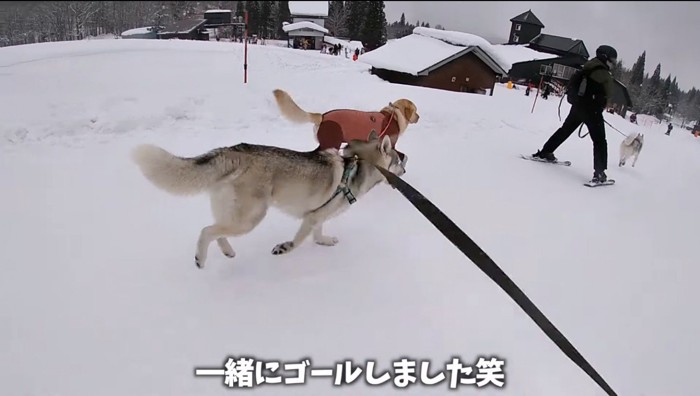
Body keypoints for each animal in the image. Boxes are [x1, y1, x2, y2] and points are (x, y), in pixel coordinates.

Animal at [131, 131, 404, 268]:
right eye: (399, 159)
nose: (405, 167)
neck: (357, 166)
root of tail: (235, 151)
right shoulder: (312, 216)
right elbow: (298, 241)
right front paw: (284, 248)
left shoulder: (318, 216)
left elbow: (317, 234)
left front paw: (324, 241)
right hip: (252, 217)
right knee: (207, 230)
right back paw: (201, 258)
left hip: (234, 212)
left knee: (217, 230)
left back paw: (228, 251)